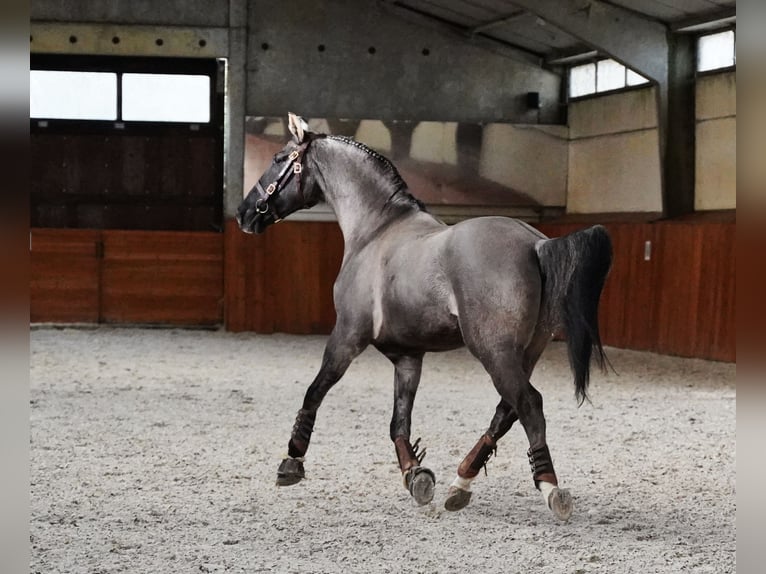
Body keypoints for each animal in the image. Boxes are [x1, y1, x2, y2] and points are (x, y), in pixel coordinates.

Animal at [237, 115, 616, 524]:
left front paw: (292, 461)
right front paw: (415, 476)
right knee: (506, 411)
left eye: (278, 159)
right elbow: (398, 423)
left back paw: (550, 488)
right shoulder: (407, 357)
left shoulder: (347, 336)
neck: (376, 230)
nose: (244, 213)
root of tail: (535, 243)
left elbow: (316, 391)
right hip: (523, 353)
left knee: (528, 404)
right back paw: (460, 484)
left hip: (494, 352)